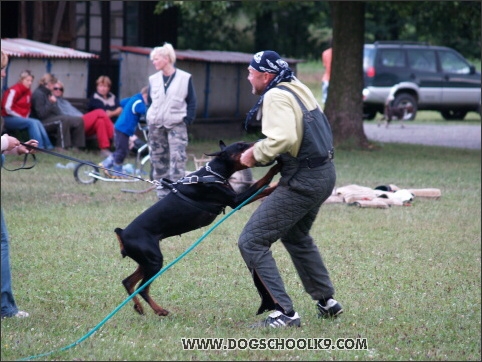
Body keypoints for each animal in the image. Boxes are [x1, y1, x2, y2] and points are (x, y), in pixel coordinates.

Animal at [114, 140, 278, 316]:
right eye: (241, 145)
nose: (261, 142)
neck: (214, 173)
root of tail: (122, 234)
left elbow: (266, 189)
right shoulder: (236, 201)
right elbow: (263, 181)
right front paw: (277, 169)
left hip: (146, 261)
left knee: (128, 282)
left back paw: (139, 307)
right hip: (154, 261)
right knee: (142, 288)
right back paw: (160, 310)